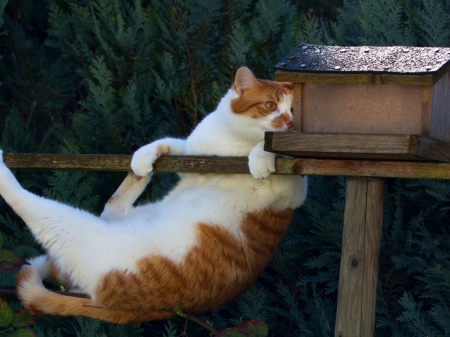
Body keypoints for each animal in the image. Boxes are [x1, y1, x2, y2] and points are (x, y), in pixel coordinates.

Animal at [0, 66, 306, 322]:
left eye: (295, 110)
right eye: (270, 105)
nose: (291, 123)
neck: (234, 145)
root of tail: (122, 311)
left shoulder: (294, 187)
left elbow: (278, 148)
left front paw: (262, 155)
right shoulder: (195, 158)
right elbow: (169, 143)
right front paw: (143, 158)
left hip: (78, 232)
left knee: (30, 204)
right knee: (111, 206)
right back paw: (139, 174)